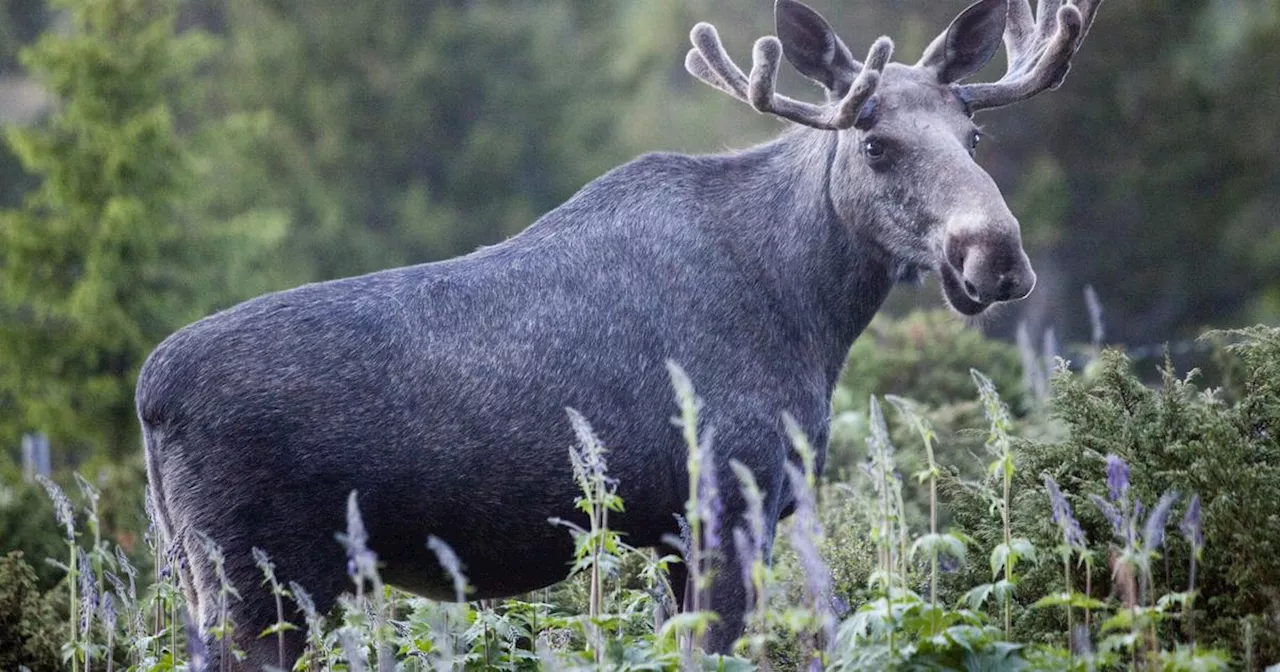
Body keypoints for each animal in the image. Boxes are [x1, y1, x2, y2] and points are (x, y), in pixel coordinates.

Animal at [137, 0, 1100, 660]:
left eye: (974, 134)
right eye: (875, 144)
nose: (995, 255)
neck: (811, 313)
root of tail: (150, 397)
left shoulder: (678, 532)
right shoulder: (725, 502)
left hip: (206, 580)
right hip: (259, 585)